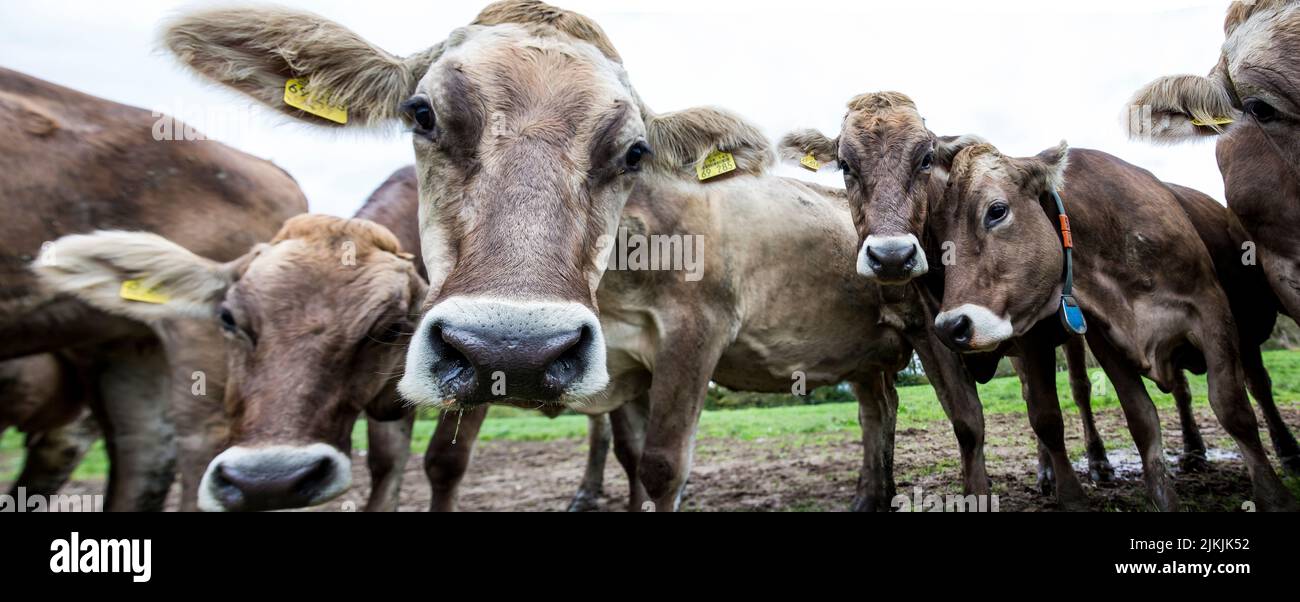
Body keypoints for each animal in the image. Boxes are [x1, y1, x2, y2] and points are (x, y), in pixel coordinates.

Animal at [930, 140, 1297, 511]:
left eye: (996, 211)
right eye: (941, 236)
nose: (949, 327)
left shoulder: (1211, 310)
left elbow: (1232, 406)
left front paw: (1274, 496)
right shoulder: (1104, 341)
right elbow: (1141, 420)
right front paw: (1165, 500)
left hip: (1244, 337)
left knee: (1257, 386)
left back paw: (1283, 450)